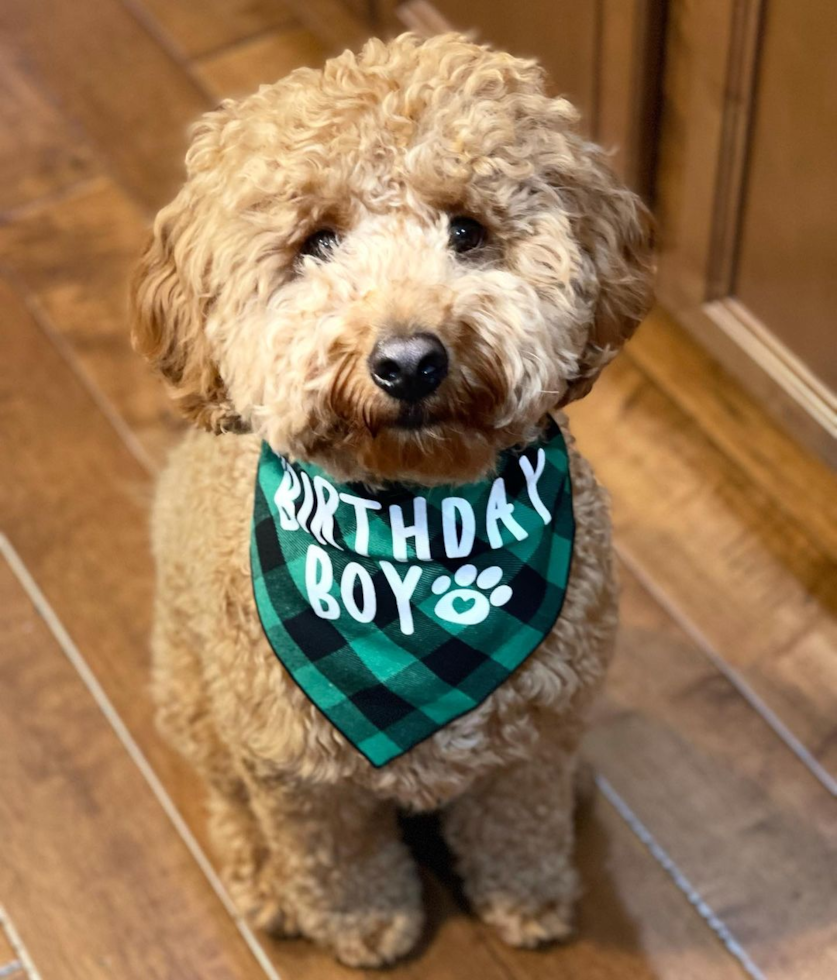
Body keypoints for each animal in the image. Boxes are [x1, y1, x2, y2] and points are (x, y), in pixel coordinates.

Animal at [131, 30, 652, 964]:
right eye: (315, 242)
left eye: (468, 231)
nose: (409, 361)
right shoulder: (298, 772)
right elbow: (336, 859)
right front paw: (364, 925)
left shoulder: (530, 746)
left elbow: (519, 827)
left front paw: (529, 900)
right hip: (196, 702)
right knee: (228, 799)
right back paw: (264, 884)